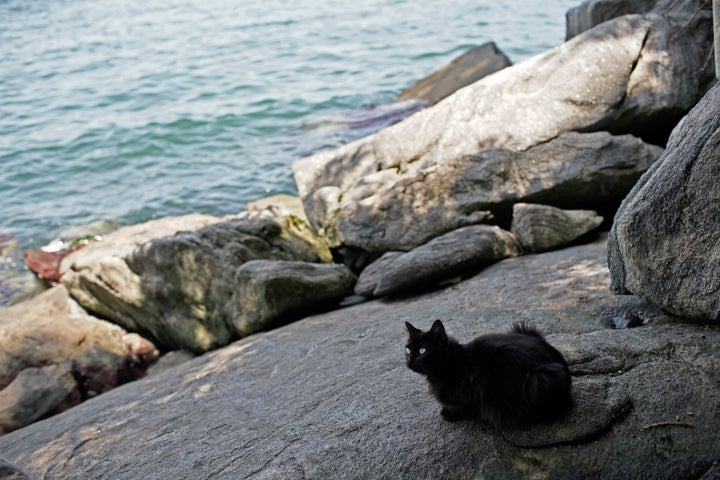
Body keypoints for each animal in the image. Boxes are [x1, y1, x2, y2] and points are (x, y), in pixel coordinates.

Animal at [408, 318, 572, 428]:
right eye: (408, 349)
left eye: (422, 350)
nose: (409, 361)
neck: (452, 363)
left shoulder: (475, 390)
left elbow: (464, 406)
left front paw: (449, 414)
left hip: (539, 378)